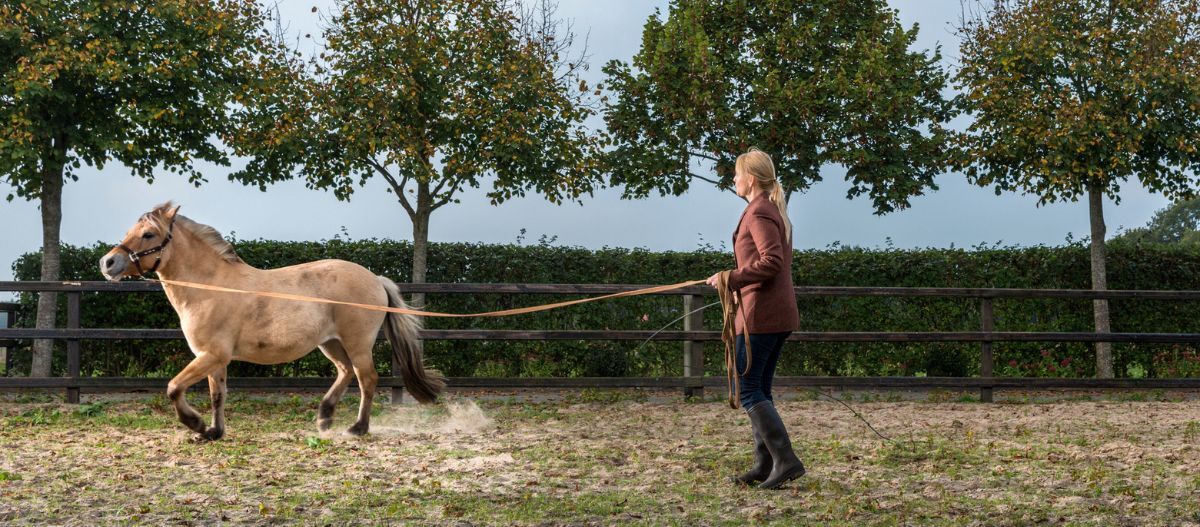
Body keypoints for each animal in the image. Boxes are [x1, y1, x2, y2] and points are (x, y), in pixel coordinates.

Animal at [98, 202, 444, 440]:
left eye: (148, 234)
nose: (108, 263)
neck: (211, 287)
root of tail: (375, 279)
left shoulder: (211, 355)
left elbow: (173, 388)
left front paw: (196, 424)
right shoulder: (214, 359)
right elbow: (217, 395)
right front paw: (213, 432)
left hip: (357, 343)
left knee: (366, 379)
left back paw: (357, 428)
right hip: (330, 343)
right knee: (345, 373)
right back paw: (324, 417)